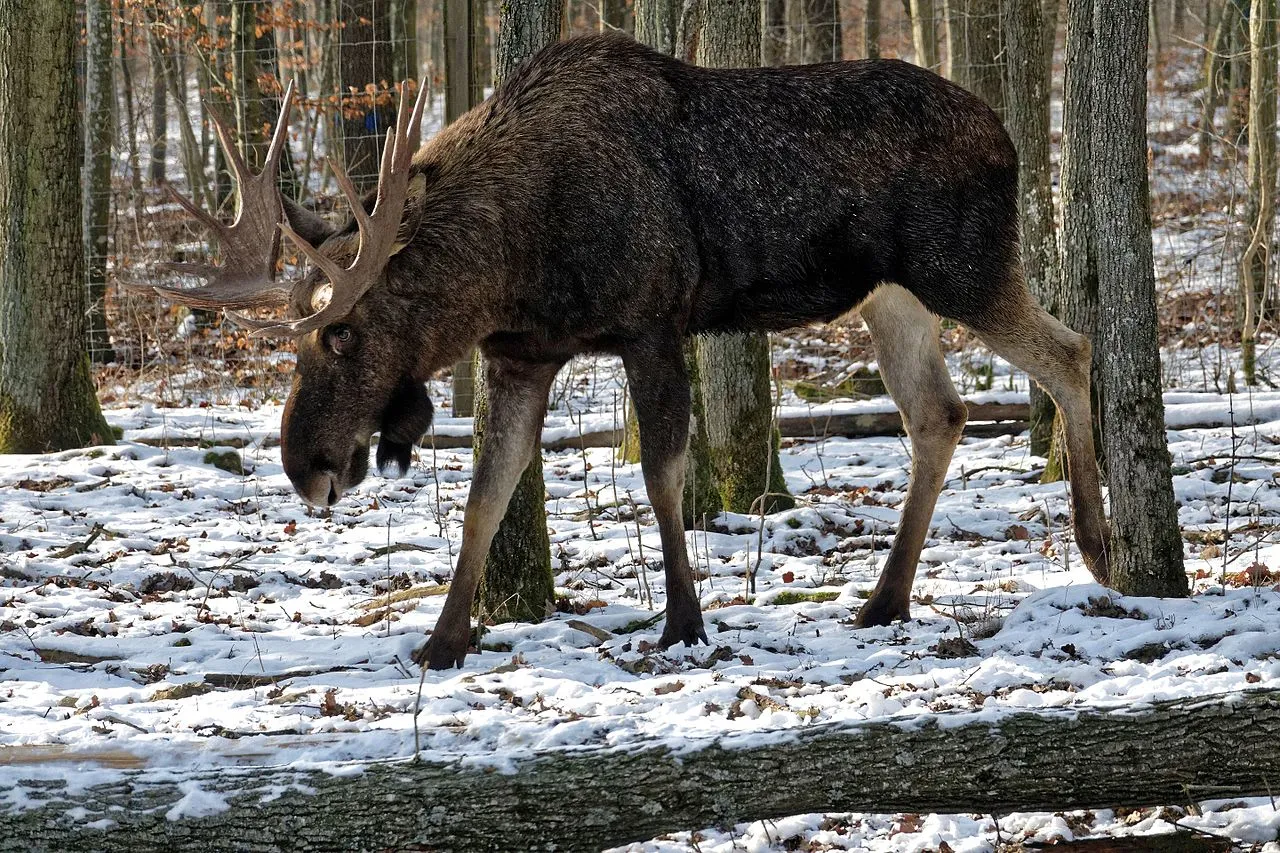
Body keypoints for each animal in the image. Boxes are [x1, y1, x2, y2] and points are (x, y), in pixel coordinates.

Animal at [149, 34, 1111, 671]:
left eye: (341, 332)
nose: (304, 465)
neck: (511, 260)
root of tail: (1013, 138)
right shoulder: (522, 354)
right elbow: (486, 497)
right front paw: (444, 637)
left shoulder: (653, 322)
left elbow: (661, 475)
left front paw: (685, 620)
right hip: (891, 295)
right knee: (939, 412)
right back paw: (884, 599)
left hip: (964, 265)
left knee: (1073, 350)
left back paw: (1099, 543)